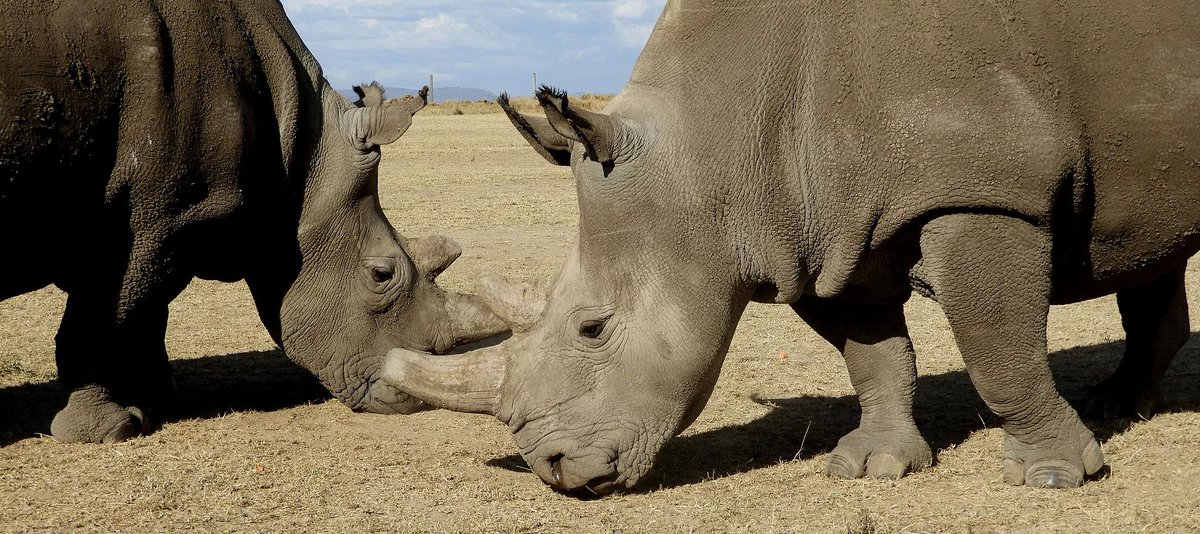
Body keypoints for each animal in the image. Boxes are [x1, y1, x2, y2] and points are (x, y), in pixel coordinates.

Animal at [0, 0, 506, 443]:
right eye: (382, 274)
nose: (414, 399)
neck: (300, 156)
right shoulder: (142, 222)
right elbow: (103, 319)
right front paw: (110, 430)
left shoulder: (166, 219)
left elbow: (145, 311)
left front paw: (155, 399)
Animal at [385, 0, 1200, 493]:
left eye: (594, 328)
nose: (554, 470)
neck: (710, 146)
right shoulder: (818, 233)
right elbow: (873, 356)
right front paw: (874, 468)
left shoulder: (984, 188)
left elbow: (998, 345)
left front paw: (1054, 477)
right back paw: (1118, 402)